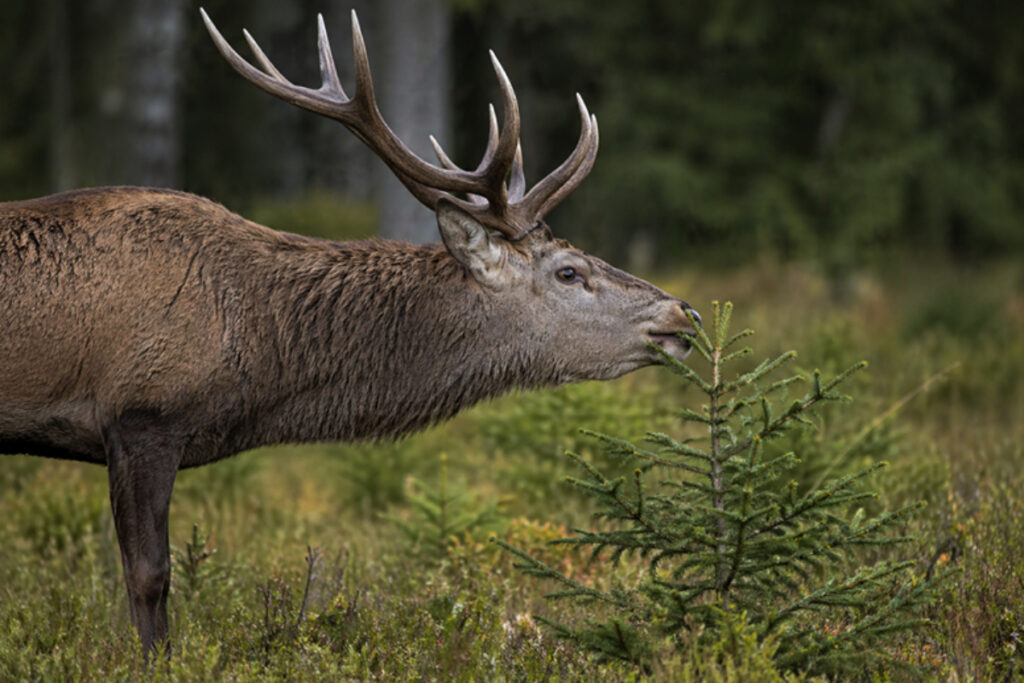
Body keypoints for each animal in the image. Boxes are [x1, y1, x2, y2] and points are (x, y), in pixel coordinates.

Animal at [0, 9, 699, 654]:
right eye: (569, 272)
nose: (681, 314)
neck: (253, 357)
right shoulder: (140, 413)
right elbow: (149, 576)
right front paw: (157, 661)